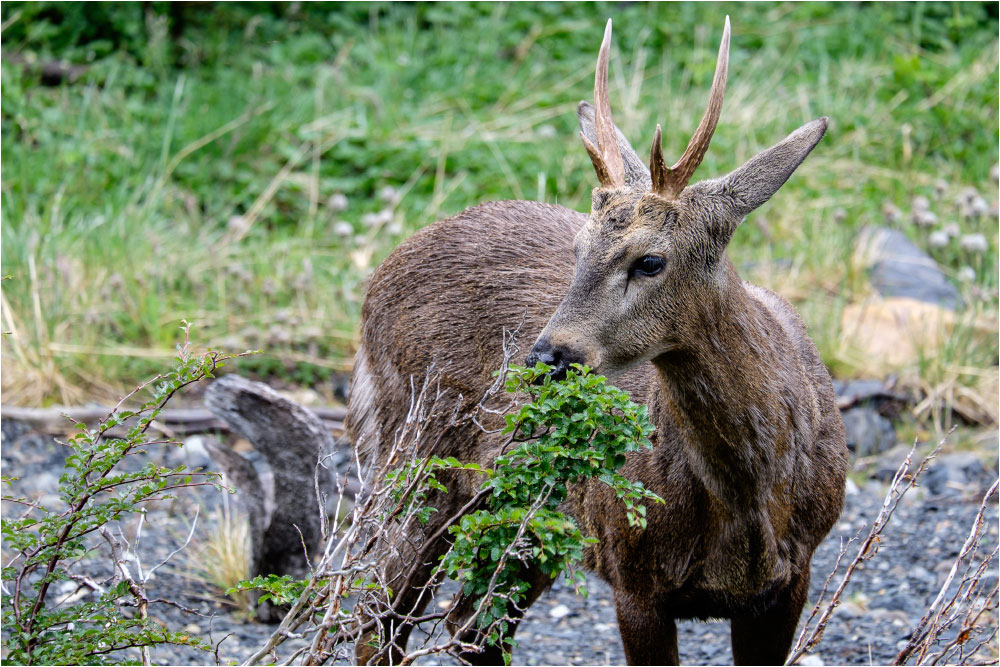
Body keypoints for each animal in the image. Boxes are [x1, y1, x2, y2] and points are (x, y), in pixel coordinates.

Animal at [348, 17, 848, 667]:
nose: (545, 357)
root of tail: (375, 283)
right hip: (413, 455)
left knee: (469, 628)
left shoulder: (790, 581)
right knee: (379, 618)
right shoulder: (633, 573)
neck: (751, 498)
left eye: (650, 260)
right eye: (579, 248)